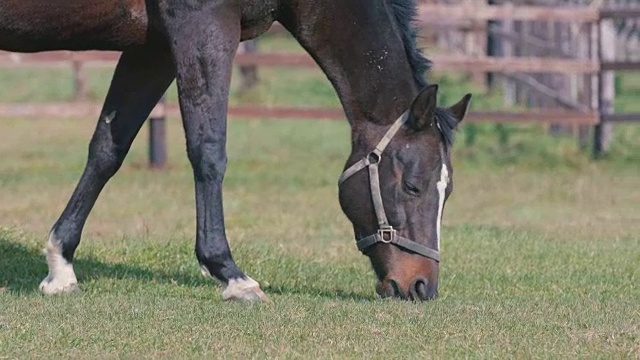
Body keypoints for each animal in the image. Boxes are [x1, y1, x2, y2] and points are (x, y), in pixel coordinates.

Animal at [0, 0, 470, 300]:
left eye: (449, 192)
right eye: (413, 186)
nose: (421, 286)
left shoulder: (154, 46)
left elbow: (107, 150)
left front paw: (60, 264)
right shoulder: (203, 25)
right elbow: (208, 150)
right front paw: (229, 273)